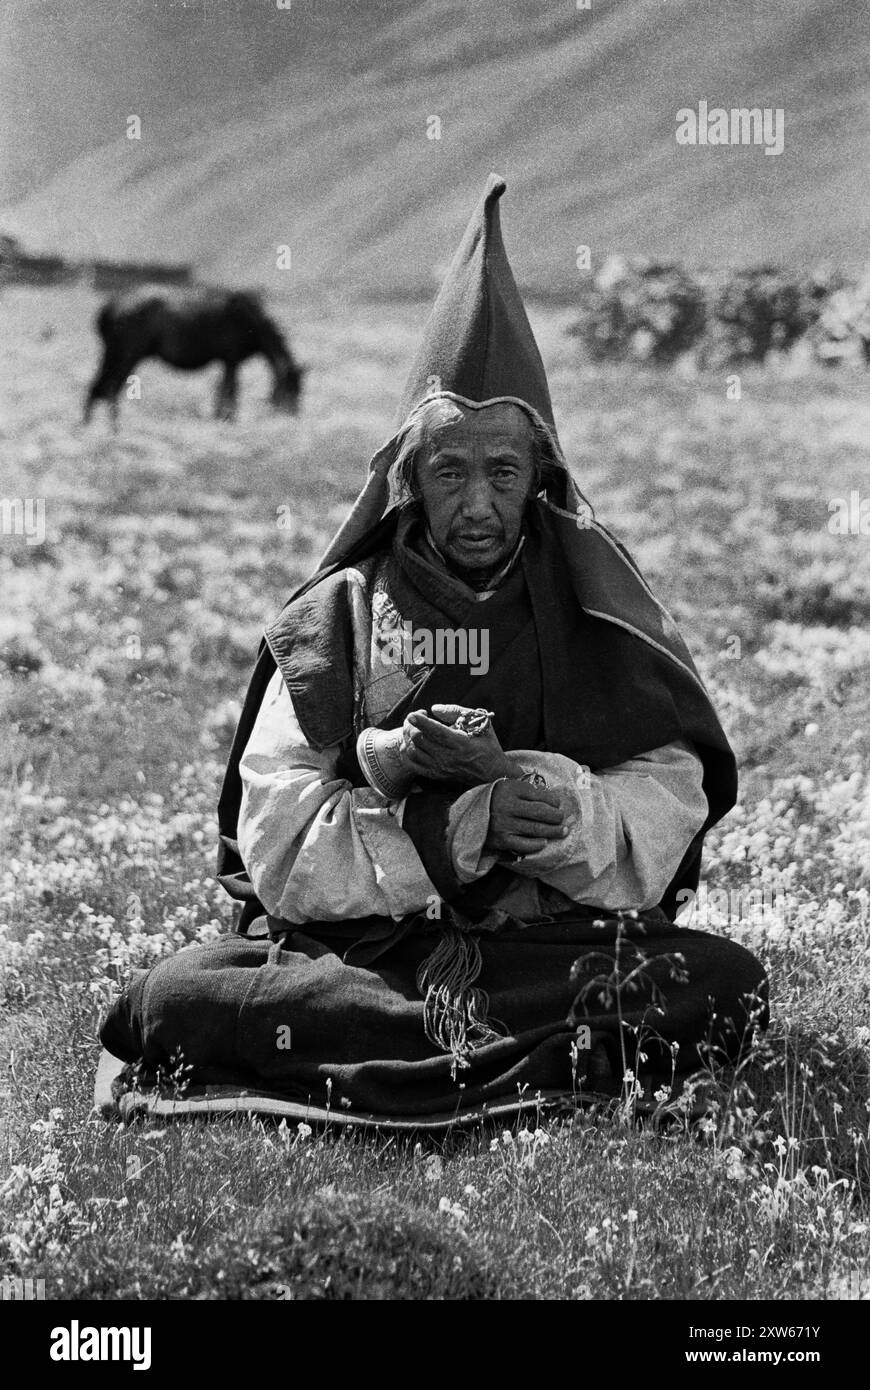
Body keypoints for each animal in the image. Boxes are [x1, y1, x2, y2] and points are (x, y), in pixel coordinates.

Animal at [81, 286, 304, 422]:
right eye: (291, 388)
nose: (293, 415)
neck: (251, 321)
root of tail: (111, 306)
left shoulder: (227, 362)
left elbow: (223, 389)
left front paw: (221, 417)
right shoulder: (231, 360)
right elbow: (230, 390)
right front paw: (227, 418)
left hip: (114, 355)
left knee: (101, 386)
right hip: (126, 356)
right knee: (109, 387)